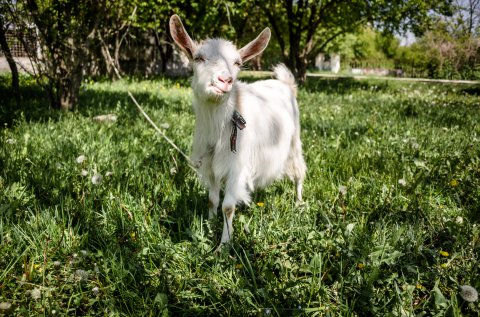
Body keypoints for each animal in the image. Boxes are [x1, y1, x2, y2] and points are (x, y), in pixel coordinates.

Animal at [171, 13, 306, 243]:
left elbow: (227, 207)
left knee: (298, 171)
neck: (217, 127)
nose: (224, 80)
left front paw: (224, 244)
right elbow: (212, 200)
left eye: (237, 62)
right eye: (198, 58)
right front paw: (209, 226)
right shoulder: (210, 164)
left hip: (293, 141)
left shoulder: (237, 165)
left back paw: (298, 202)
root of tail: (287, 84)